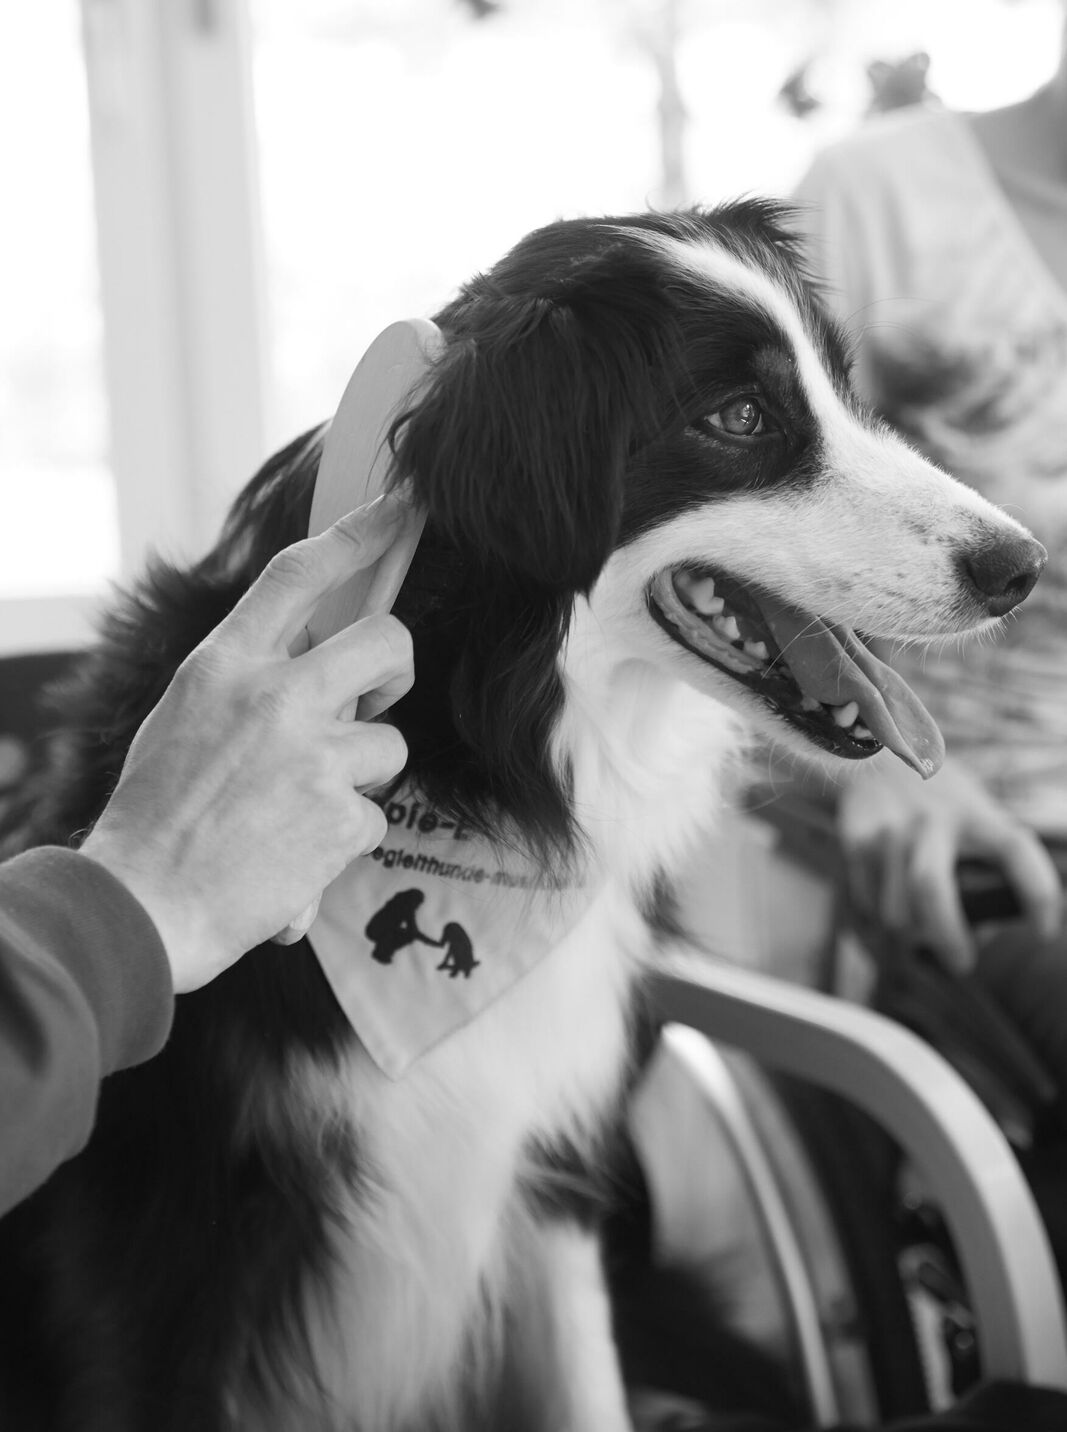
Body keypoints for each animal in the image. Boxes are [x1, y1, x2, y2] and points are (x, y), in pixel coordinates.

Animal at [0, 204, 1042, 1432]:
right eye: (738, 418)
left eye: (841, 386)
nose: (1020, 565)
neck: (480, 756)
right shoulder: (156, 1249)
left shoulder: (543, 1163)